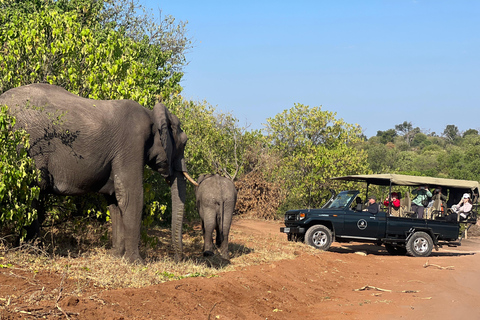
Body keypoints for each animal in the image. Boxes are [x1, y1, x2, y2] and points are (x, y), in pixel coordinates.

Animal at [0, 84, 197, 264]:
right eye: (184, 142)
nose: (178, 260)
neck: (151, 114)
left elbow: (114, 199)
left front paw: (116, 256)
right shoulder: (132, 142)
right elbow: (129, 195)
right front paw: (136, 263)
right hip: (26, 147)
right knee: (30, 194)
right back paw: (32, 251)